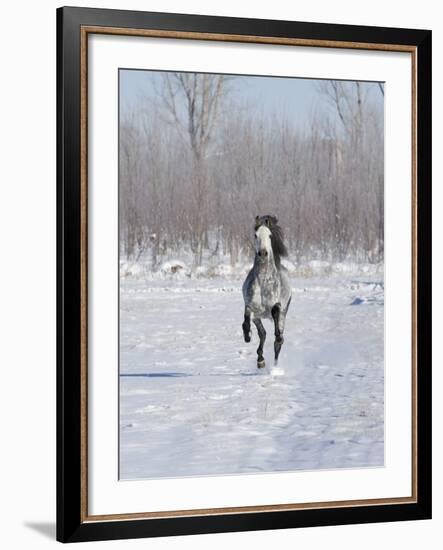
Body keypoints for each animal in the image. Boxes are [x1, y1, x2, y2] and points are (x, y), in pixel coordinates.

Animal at [241, 217, 294, 370]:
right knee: (263, 334)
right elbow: (246, 321)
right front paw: (247, 336)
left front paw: (278, 337)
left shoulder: (276, 305)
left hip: (283, 315)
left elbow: (275, 313)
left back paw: (275, 366)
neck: (263, 281)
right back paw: (260, 360)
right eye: (255, 235)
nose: (263, 253)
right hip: (258, 317)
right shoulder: (251, 306)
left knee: (278, 342)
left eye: (270, 236)